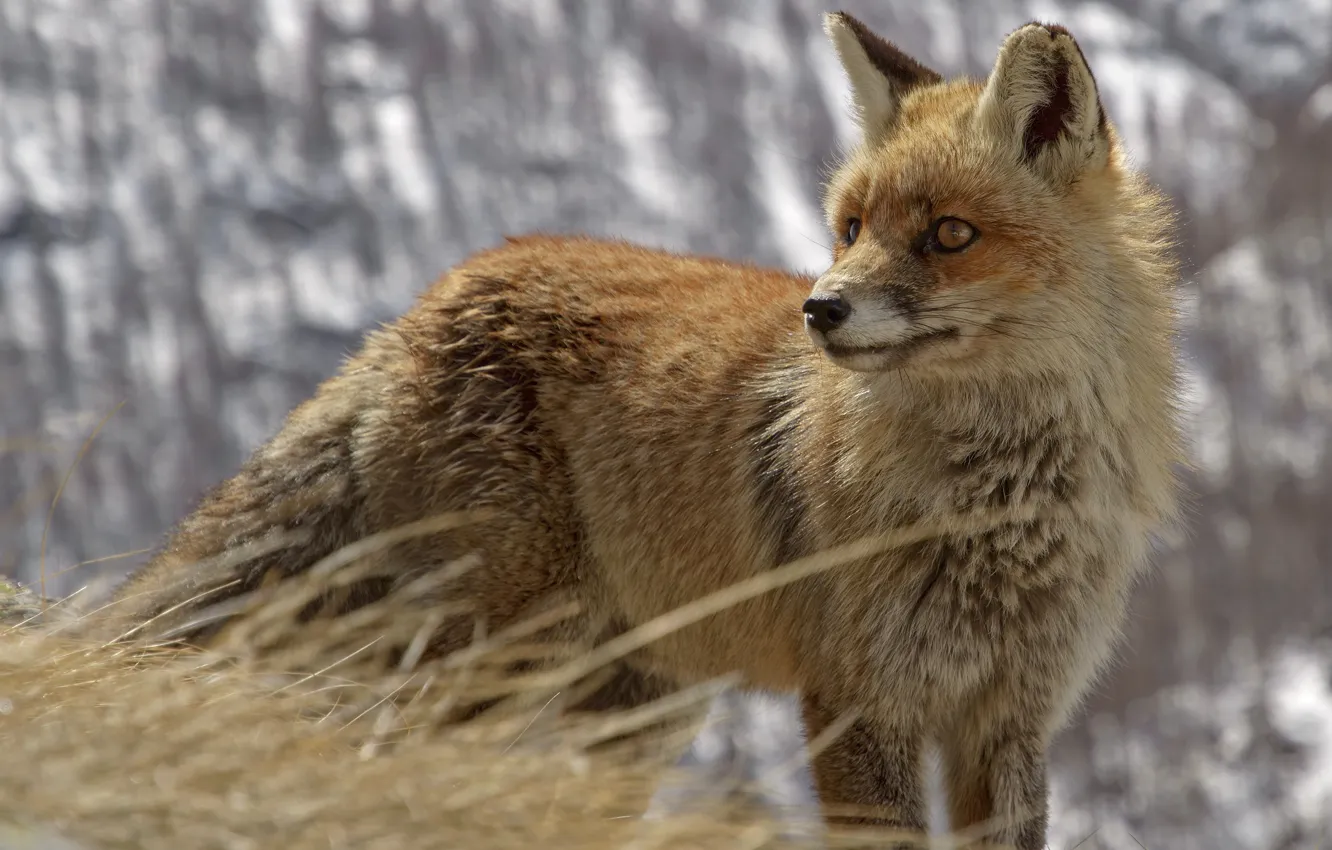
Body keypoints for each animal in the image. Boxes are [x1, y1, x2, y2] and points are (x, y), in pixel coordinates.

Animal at [95, 11, 1183, 849]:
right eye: (849, 228)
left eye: (949, 235)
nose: (821, 310)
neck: (996, 505)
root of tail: (433, 297)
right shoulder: (857, 701)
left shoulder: (1011, 717)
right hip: (494, 655)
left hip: (635, 705)